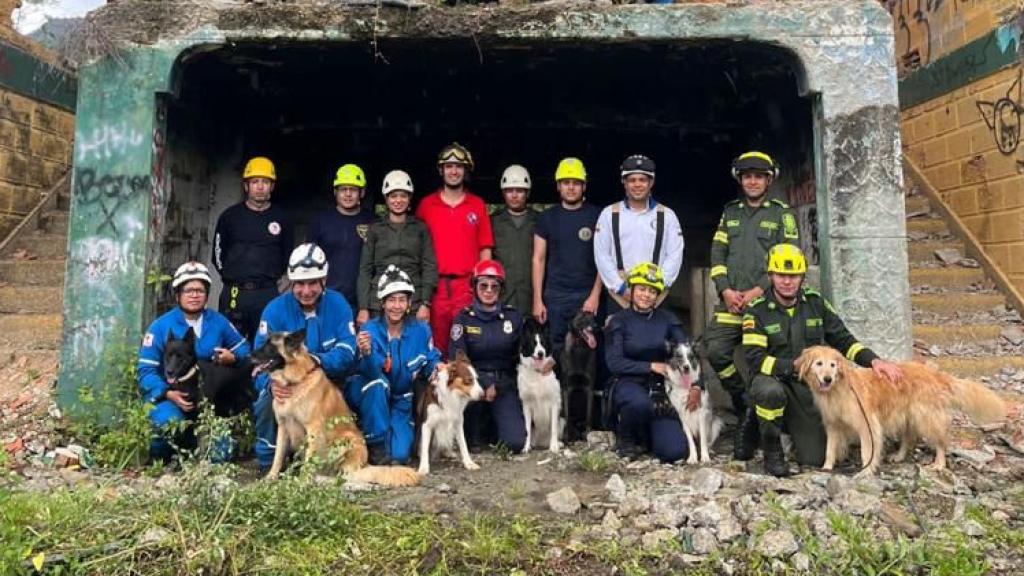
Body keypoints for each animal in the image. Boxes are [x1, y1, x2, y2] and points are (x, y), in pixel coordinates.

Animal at [251, 327, 419, 483]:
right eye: (264, 343)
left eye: (270, 346)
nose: (249, 356)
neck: (295, 381)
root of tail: (364, 464)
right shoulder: (283, 428)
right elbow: (278, 456)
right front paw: (271, 476)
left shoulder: (313, 429)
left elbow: (309, 459)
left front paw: (302, 480)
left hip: (345, 440)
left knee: (344, 475)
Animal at [561, 309, 598, 438]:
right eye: (582, 317)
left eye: (593, 317)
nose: (595, 326)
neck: (580, 346)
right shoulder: (566, 388)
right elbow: (567, 415)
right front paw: (566, 436)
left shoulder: (590, 388)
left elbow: (588, 415)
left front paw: (588, 434)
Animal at [794, 342, 1003, 473]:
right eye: (819, 363)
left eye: (833, 365)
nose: (827, 379)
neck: (838, 390)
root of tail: (935, 374)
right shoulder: (833, 426)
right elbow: (829, 450)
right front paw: (827, 468)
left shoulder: (867, 425)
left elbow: (867, 452)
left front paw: (865, 472)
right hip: (907, 416)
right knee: (908, 438)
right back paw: (900, 456)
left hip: (925, 417)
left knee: (941, 442)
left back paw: (939, 464)